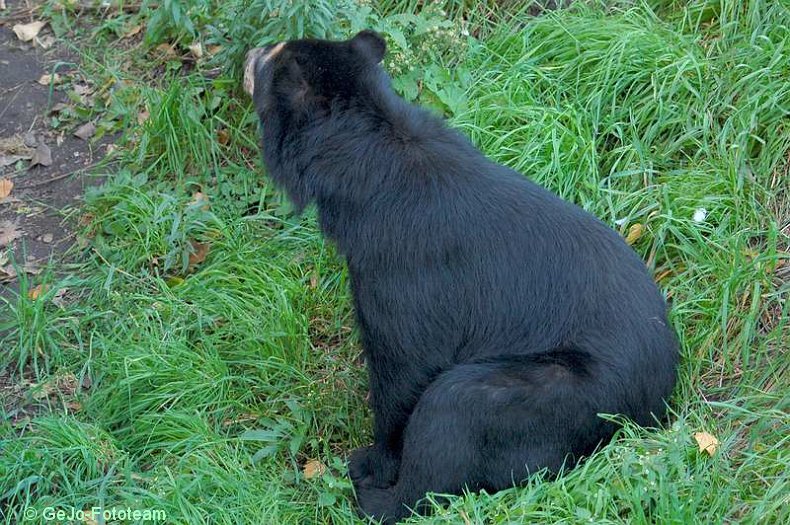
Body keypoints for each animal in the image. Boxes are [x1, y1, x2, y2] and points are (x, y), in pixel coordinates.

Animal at [244, 30, 676, 520]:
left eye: (269, 60)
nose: (250, 53)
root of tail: (656, 406)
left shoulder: (400, 274)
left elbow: (404, 366)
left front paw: (371, 464)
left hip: (561, 394)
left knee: (451, 414)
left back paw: (377, 497)